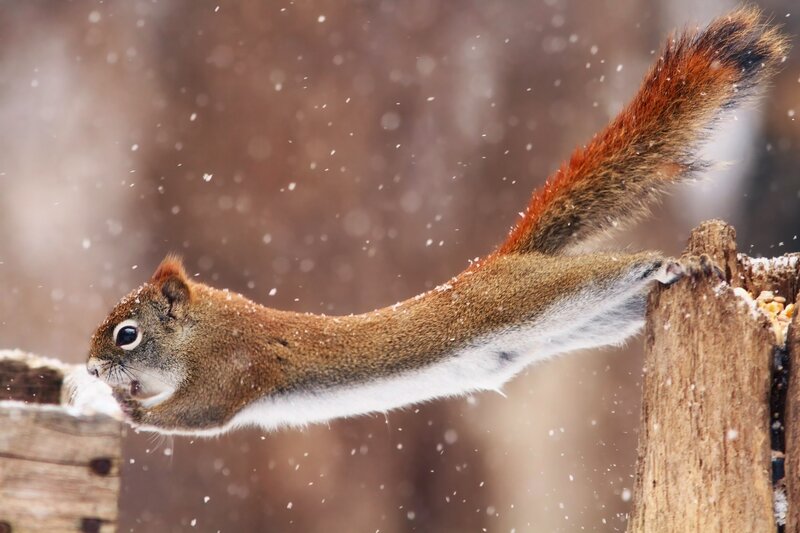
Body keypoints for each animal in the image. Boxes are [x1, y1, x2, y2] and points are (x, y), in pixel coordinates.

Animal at [87, 8, 787, 436]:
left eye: (126, 335)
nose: (91, 370)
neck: (201, 331)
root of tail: (503, 261)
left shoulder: (232, 370)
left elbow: (198, 416)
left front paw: (127, 409)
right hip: (584, 322)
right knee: (624, 305)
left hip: (542, 295)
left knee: (616, 268)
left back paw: (674, 260)